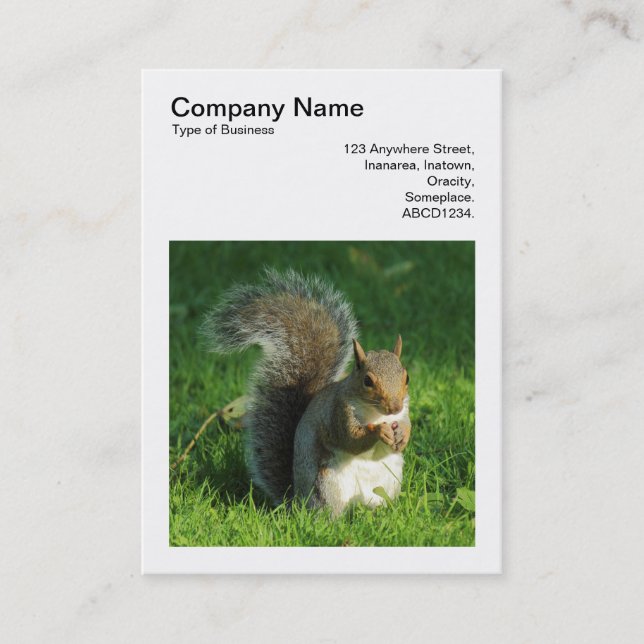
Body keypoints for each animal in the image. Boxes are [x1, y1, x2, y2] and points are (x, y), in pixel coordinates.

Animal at [201, 268, 411, 516]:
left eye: (406, 377)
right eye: (367, 381)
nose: (394, 406)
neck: (376, 413)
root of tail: (297, 502)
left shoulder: (404, 411)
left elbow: (406, 424)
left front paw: (403, 435)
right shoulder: (338, 413)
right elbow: (351, 439)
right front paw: (380, 432)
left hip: (388, 482)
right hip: (328, 484)